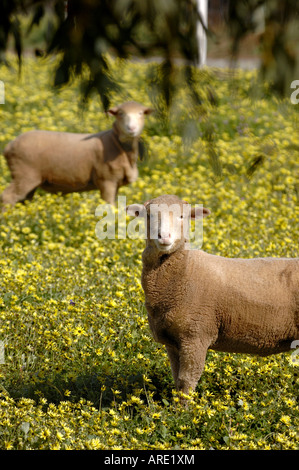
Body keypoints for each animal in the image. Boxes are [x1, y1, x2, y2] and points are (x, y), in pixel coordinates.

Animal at [0, 100, 152, 208]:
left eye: (140, 113)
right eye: (121, 113)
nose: (131, 128)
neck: (115, 142)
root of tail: (9, 145)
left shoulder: (116, 183)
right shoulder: (106, 180)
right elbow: (108, 204)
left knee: (23, 199)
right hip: (24, 175)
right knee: (7, 197)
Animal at [126, 195, 299, 396]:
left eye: (183, 216)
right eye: (148, 216)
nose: (165, 237)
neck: (186, 269)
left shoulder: (195, 335)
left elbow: (186, 382)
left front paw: (183, 405)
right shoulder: (173, 341)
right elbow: (177, 380)